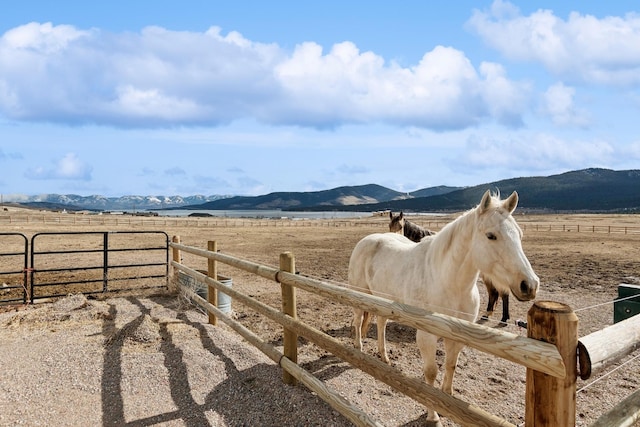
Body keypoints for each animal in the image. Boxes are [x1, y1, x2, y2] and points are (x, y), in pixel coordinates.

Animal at [348, 191, 536, 424]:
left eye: (519, 234)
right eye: (491, 235)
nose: (529, 285)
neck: (447, 281)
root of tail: (367, 240)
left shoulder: (456, 335)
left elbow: (450, 365)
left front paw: (448, 400)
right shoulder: (427, 335)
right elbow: (431, 372)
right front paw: (433, 414)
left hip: (384, 301)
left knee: (381, 324)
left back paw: (384, 357)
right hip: (360, 295)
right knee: (358, 321)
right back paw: (358, 348)